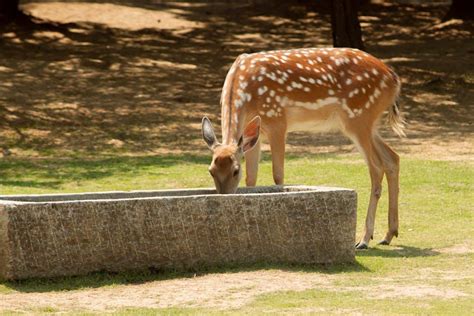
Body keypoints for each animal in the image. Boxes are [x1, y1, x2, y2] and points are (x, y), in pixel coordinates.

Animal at [202, 47, 406, 249]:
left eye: (235, 170)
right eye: (210, 171)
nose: (224, 197)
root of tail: (394, 79)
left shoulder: (277, 120)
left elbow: (278, 175)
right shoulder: (254, 136)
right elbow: (251, 178)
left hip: (358, 116)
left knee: (377, 167)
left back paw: (364, 239)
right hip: (367, 123)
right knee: (392, 158)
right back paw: (388, 234)